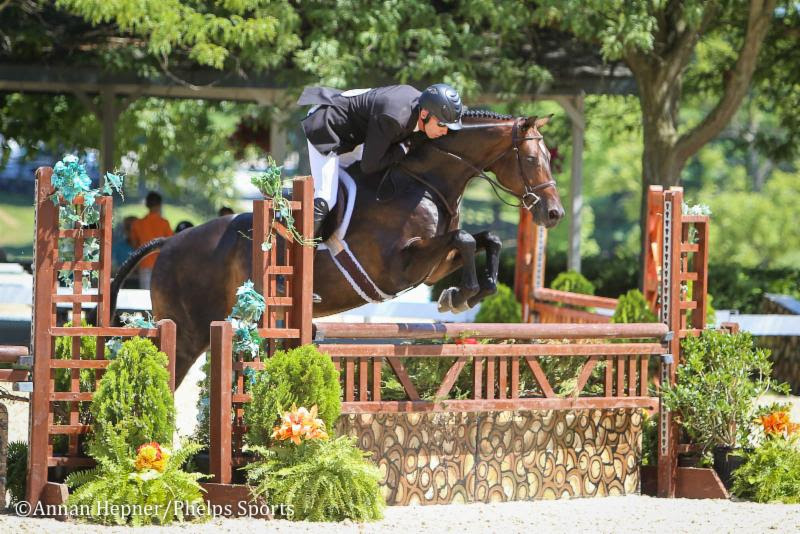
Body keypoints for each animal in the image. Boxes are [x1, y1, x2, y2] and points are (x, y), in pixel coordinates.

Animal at [111, 113, 564, 390]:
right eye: (530, 158)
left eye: (548, 157)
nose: (554, 213)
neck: (424, 181)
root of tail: (170, 243)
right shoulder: (398, 267)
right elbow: (468, 239)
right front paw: (463, 294)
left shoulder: (431, 267)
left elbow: (485, 239)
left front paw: (464, 294)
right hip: (187, 333)